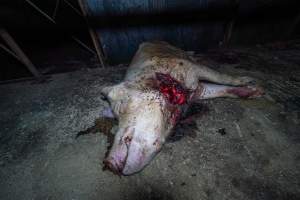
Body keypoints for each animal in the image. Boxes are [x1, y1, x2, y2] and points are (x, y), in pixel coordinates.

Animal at [100, 41, 262, 175]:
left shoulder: (192, 68)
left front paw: (251, 82)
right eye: (115, 118)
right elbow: (219, 90)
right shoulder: (199, 91)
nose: (108, 162)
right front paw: (258, 92)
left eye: (121, 108)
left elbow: (221, 77)